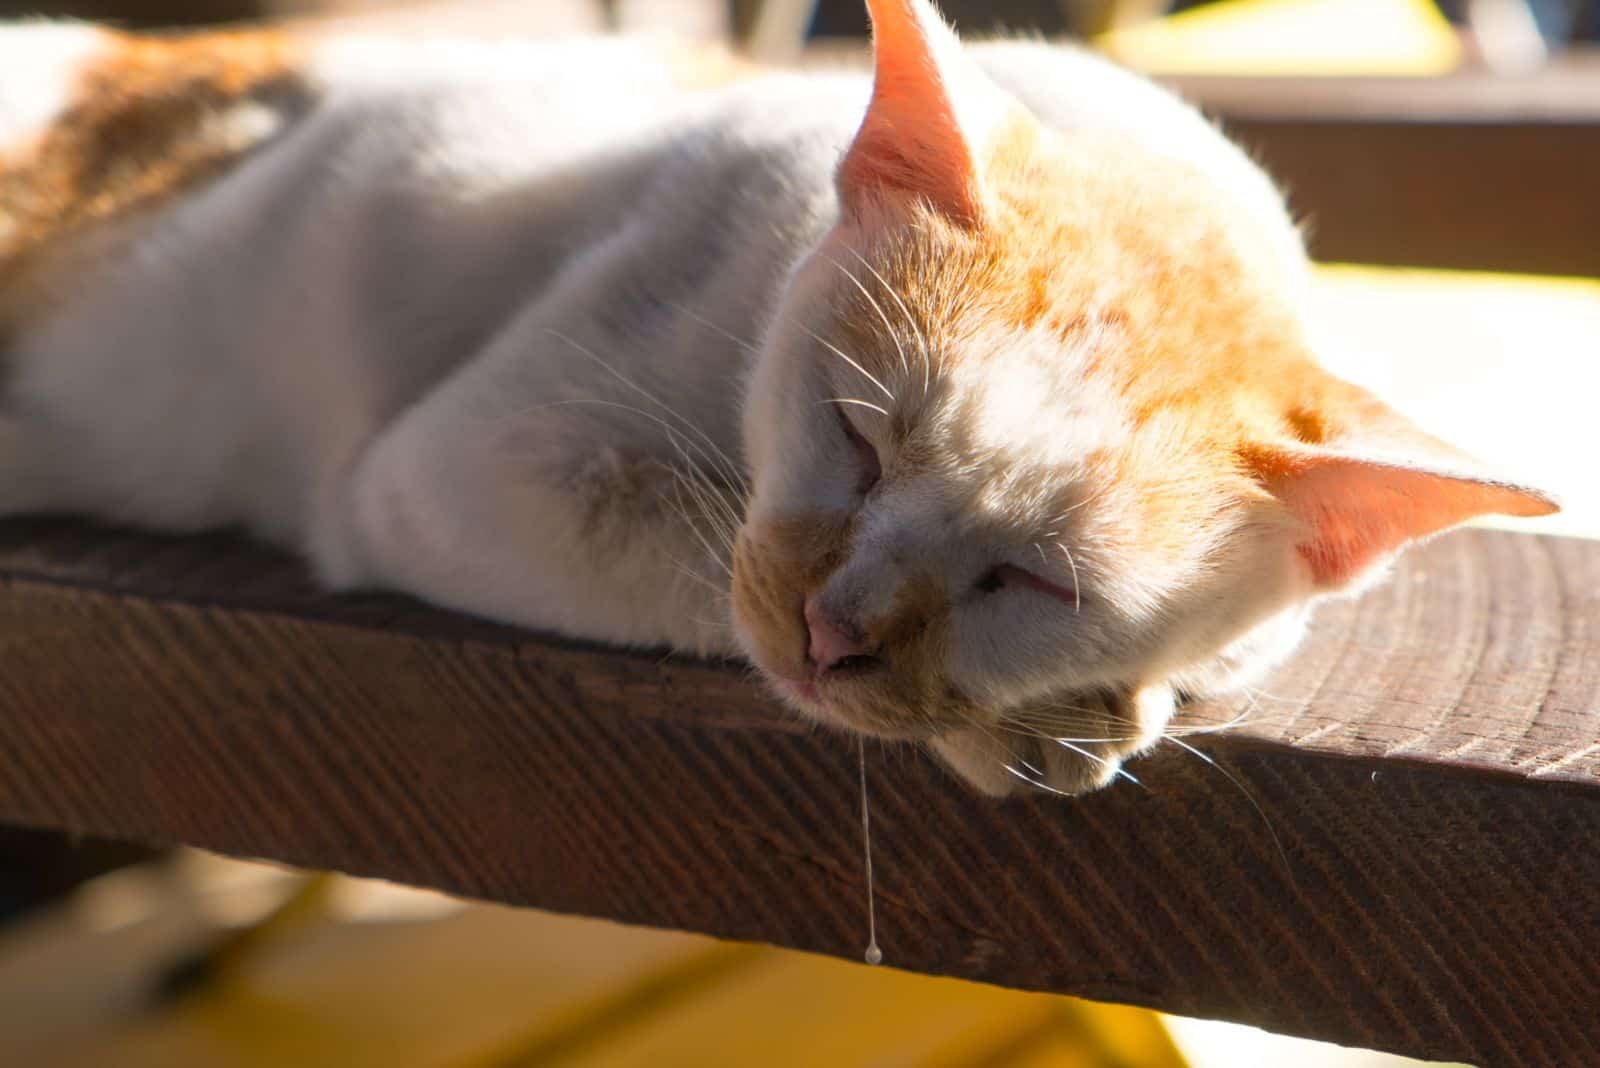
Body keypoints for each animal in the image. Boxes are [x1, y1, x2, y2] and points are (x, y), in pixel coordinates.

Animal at [0, 0, 1548, 796]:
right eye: (855, 435)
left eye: (1036, 583)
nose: (833, 633)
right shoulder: (447, 472)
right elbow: (689, 549)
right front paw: (1028, 728)